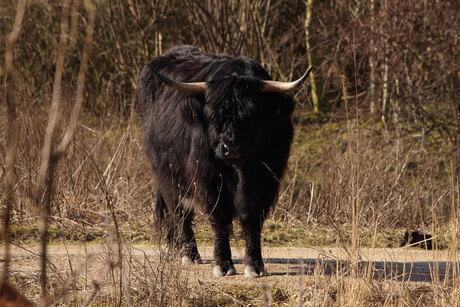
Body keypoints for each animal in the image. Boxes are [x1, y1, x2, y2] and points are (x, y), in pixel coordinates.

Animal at [135, 45, 310, 280]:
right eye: (213, 114)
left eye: (253, 114)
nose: (231, 148)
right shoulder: (207, 178)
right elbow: (219, 216)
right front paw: (223, 264)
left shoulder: (266, 178)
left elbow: (252, 217)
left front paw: (254, 265)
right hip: (167, 175)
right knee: (180, 212)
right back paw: (189, 254)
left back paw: (175, 250)